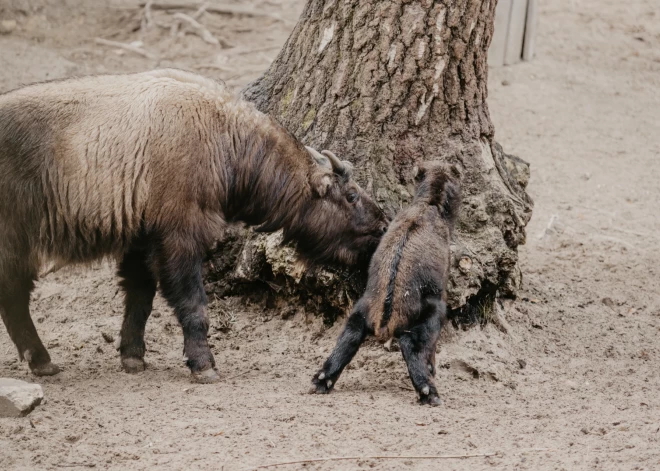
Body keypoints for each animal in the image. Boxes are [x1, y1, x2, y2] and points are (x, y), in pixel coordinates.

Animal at [0, 69, 390, 384]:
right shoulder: (180, 236)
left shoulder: (142, 240)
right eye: (351, 196)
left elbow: (140, 297)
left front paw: (132, 356)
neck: (224, 136)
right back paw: (42, 361)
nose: (384, 224)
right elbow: (193, 303)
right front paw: (204, 365)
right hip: (16, 243)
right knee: (14, 296)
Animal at [308, 162, 458, 406]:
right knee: (410, 344)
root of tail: (384, 319)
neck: (428, 205)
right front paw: (431, 370)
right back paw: (428, 392)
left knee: (348, 339)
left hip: (358, 314)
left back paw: (322, 380)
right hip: (429, 315)